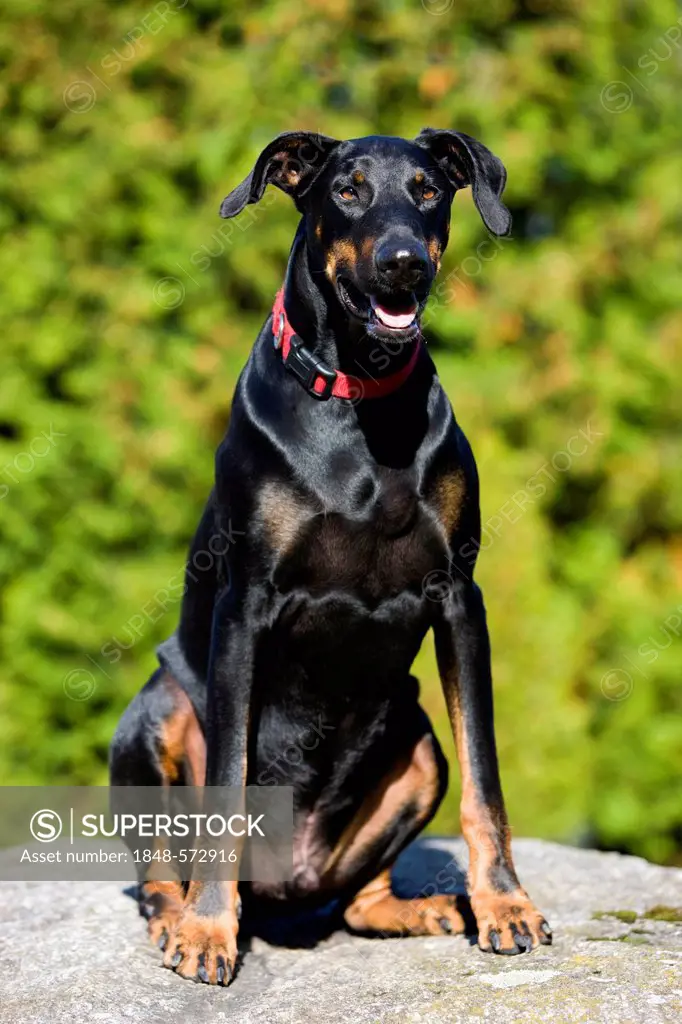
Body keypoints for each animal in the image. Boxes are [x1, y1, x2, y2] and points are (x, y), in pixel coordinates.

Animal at [110, 128, 548, 983]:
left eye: (427, 189)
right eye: (346, 189)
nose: (404, 262)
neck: (359, 394)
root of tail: (288, 883)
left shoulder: (459, 595)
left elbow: (486, 782)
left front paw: (505, 905)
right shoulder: (244, 606)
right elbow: (227, 785)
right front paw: (209, 932)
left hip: (417, 745)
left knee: (355, 898)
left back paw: (425, 907)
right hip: (156, 712)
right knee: (158, 868)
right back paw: (180, 919)